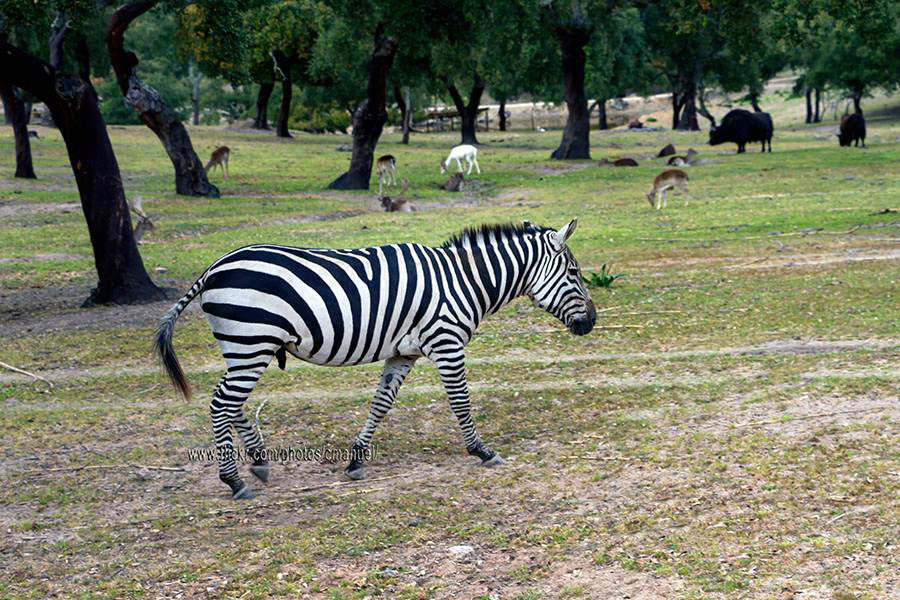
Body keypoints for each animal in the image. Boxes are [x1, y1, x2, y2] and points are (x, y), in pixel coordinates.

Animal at [156, 219, 596, 496]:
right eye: (575, 273)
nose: (592, 322)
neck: (464, 282)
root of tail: (214, 266)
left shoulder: (404, 353)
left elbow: (381, 403)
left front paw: (355, 460)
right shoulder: (447, 342)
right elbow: (461, 402)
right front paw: (482, 451)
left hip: (246, 347)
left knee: (233, 404)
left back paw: (260, 462)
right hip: (252, 343)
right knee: (222, 403)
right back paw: (234, 481)